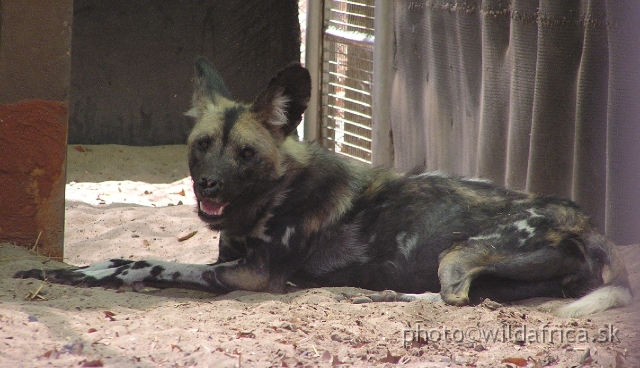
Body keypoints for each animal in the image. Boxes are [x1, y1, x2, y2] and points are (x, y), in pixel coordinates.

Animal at [15, 57, 632, 316]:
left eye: (246, 154)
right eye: (201, 145)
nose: (209, 186)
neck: (265, 200)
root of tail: (584, 220)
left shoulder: (250, 276)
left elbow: (143, 263)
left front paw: (81, 272)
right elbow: (125, 258)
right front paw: (60, 269)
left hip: (457, 255)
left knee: (455, 298)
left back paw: (373, 295)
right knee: (476, 297)